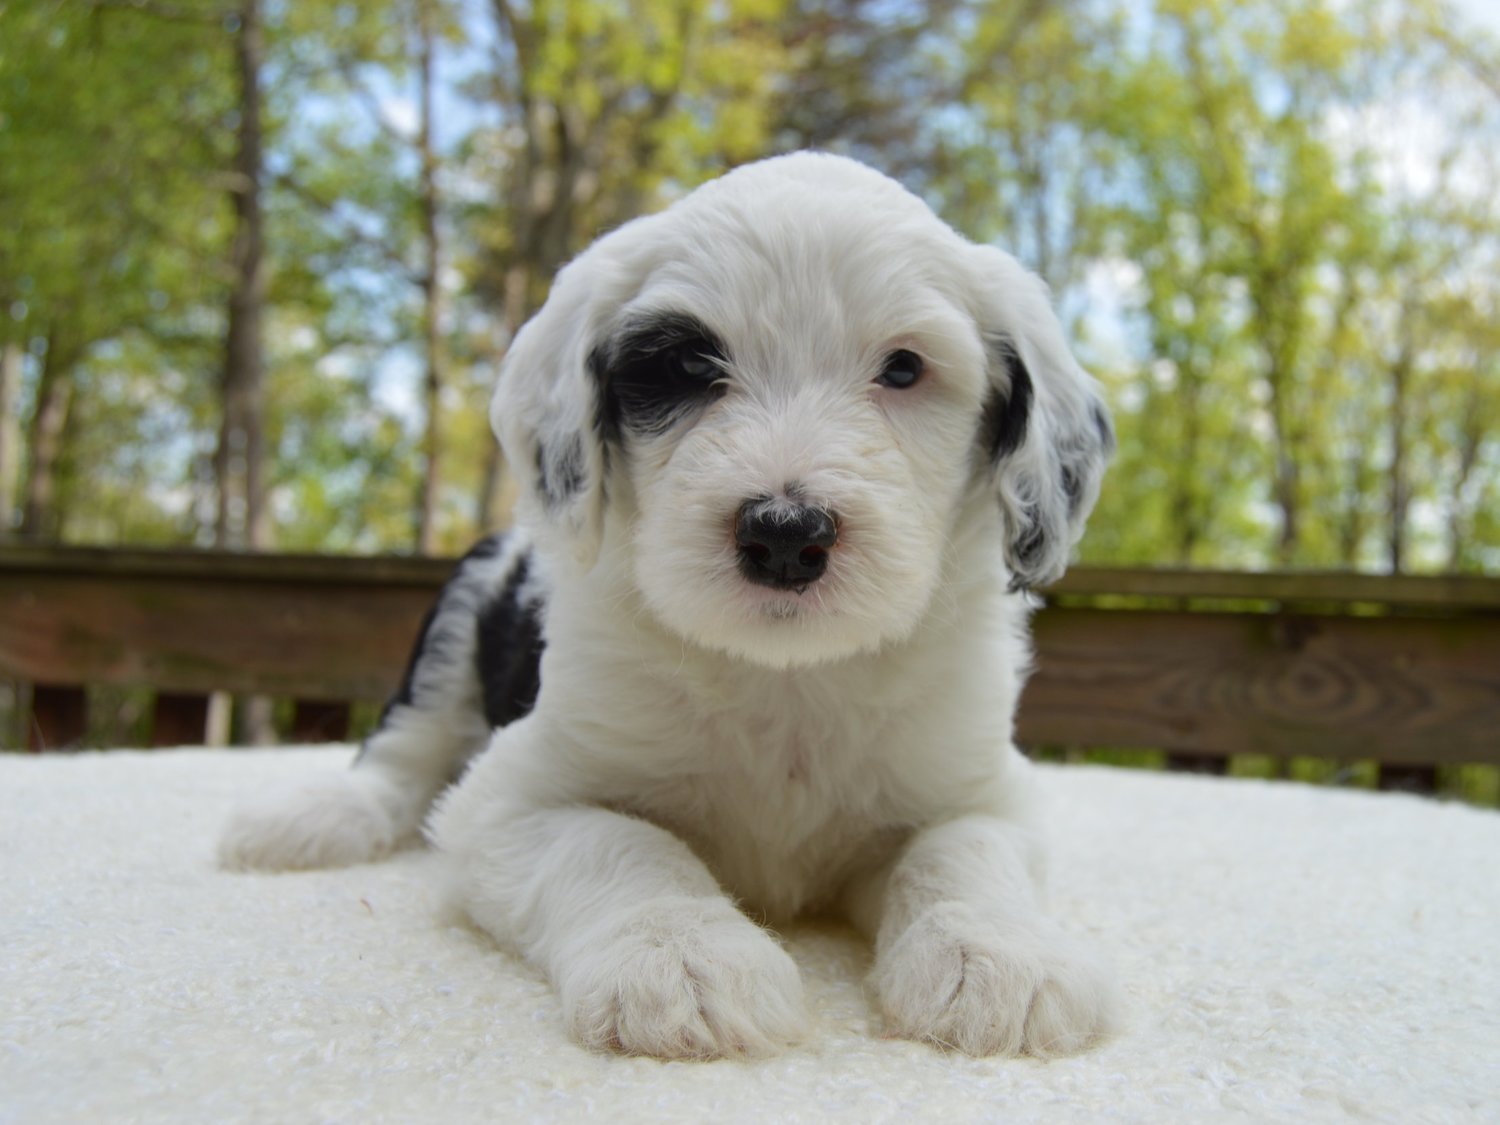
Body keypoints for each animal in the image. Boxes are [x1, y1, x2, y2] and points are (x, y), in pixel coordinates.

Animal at [219, 154, 1116, 1062]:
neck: (784, 676)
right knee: (399, 759)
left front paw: (996, 957)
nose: (784, 535)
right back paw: (305, 820)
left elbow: (962, 850)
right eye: (687, 366)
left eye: (904, 368)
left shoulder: (981, 784)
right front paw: (683, 959)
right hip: (462, 607)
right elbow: (619, 841)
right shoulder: (513, 797)